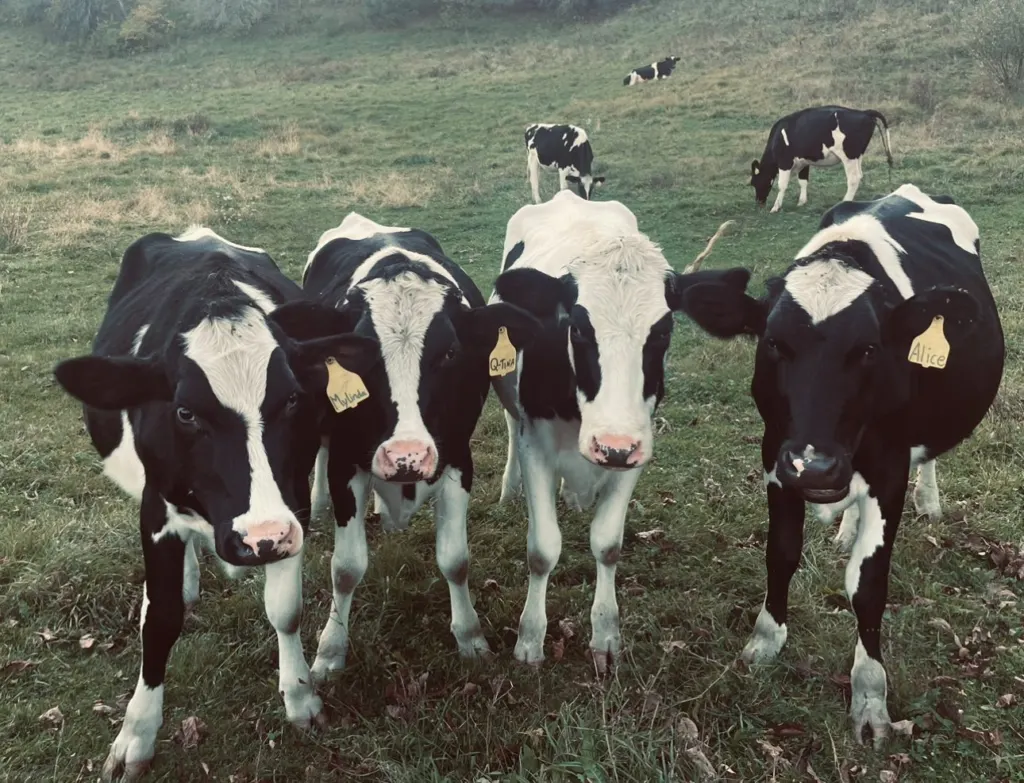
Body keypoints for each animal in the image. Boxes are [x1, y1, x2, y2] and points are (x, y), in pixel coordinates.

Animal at [52, 227, 378, 781]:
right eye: (185, 412)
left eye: (293, 399)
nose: (259, 538)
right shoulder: (156, 509)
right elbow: (160, 619)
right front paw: (136, 734)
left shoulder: (290, 507)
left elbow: (285, 609)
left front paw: (300, 698)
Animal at [272, 212, 540, 681]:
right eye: (359, 356)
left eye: (449, 353)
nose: (406, 456)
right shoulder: (346, 463)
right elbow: (345, 568)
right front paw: (330, 651)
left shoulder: (457, 458)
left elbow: (455, 559)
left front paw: (470, 638)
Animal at [489, 190, 733, 671]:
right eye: (579, 327)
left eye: (663, 332)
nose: (611, 445)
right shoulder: (534, 445)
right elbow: (542, 549)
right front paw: (530, 639)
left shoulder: (637, 447)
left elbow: (607, 545)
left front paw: (605, 633)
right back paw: (510, 490)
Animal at [677, 184, 1003, 744]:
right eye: (773, 343)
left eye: (868, 348)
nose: (817, 467)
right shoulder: (777, 457)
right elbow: (780, 554)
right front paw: (765, 641)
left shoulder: (888, 468)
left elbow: (867, 587)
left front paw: (870, 694)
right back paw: (847, 529)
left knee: (928, 455)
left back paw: (928, 500)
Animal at [750, 105, 893, 214]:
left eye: (755, 182)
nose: (758, 202)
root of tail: (864, 112)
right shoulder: (804, 161)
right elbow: (803, 181)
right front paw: (801, 202)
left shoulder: (784, 162)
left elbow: (782, 185)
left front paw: (775, 207)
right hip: (858, 156)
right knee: (860, 175)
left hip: (849, 156)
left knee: (854, 178)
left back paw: (845, 200)